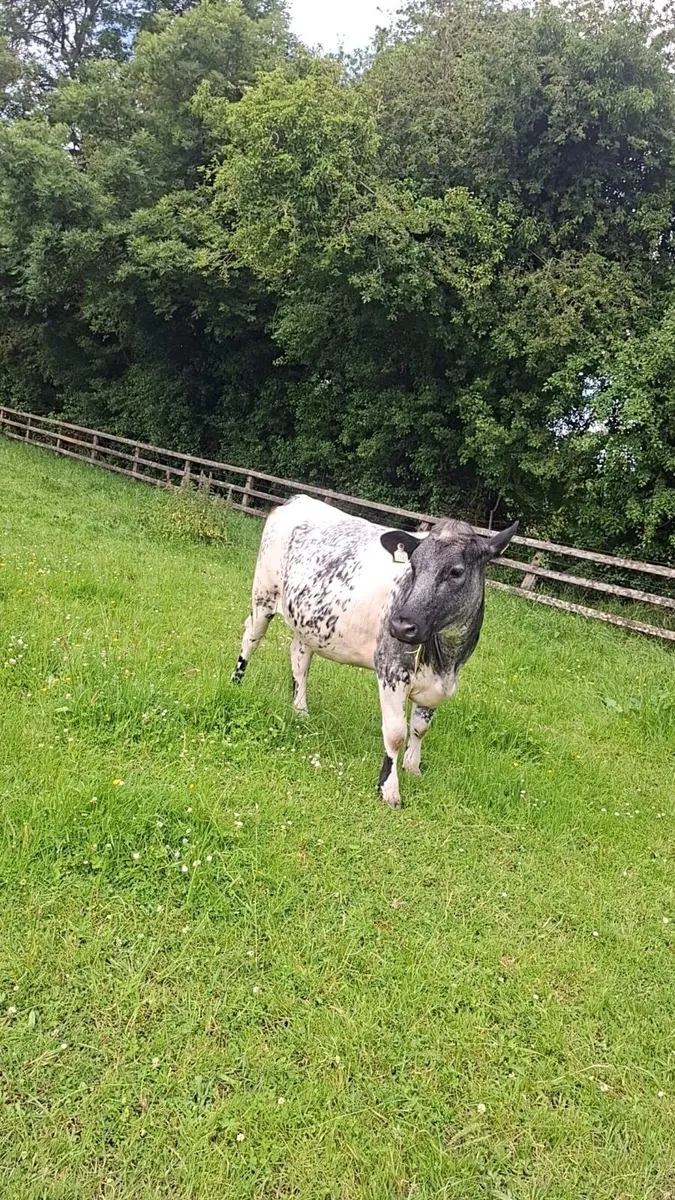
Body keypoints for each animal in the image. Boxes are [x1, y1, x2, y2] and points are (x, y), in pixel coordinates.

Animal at [231, 495, 518, 808]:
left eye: (456, 571)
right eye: (413, 566)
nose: (401, 625)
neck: (447, 659)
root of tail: (298, 499)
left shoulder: (438, 684)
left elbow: (419, 728)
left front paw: (413, 768)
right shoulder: (391, 670)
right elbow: (395, 733)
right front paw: (389, 789)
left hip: (307, 622)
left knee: (299, 657)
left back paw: (300, 710)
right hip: (263, 596)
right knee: (251, 637)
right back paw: (235, 683)